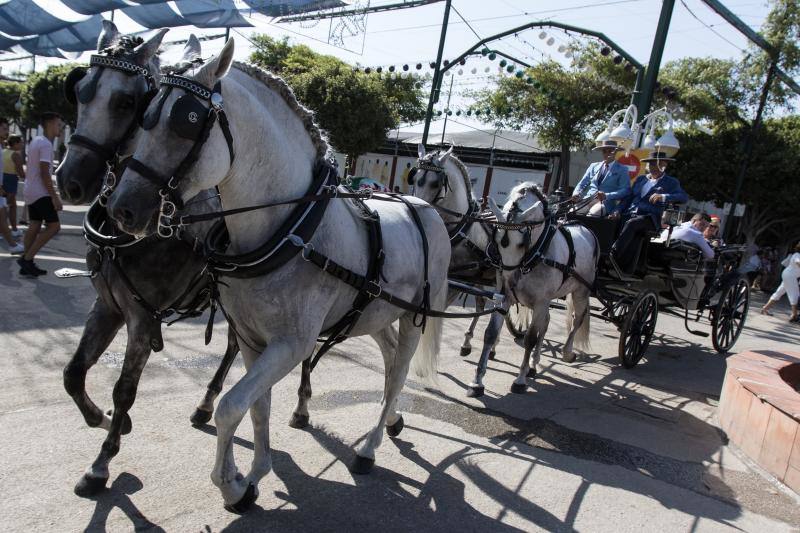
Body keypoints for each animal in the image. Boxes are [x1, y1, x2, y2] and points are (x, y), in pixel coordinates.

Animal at [103, 37, 450, 512]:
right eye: (146, 115)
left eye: (187, 122)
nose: (122, 209)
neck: (291, 228)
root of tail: (426, 208)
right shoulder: (252, 340)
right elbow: (257, 407)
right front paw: (254, 473)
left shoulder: (291, 344)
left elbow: (231, 406)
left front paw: (231, 484)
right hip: (374, 313)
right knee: (390, 356)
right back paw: (393, 417)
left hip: (415, 316)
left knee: (400, 370)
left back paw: (369, 447)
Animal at [412, 144, 506, 394]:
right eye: (414, 177)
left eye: (435, 183)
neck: (464, 228)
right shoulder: (452, 278)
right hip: (479, 279)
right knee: (482, 305)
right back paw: (468, 343)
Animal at [488, 182, 600, 390]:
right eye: (497, 241)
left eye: (521, 243)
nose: (509, 281)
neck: (538, 251)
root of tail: (586, 230)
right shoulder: (508, 296)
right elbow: (498, 326)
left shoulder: (541, 301)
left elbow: (530, 338)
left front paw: (520, 379)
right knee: (547, 322)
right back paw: (535, 363)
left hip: (581, 291)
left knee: (578, 319)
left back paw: (567, 352)